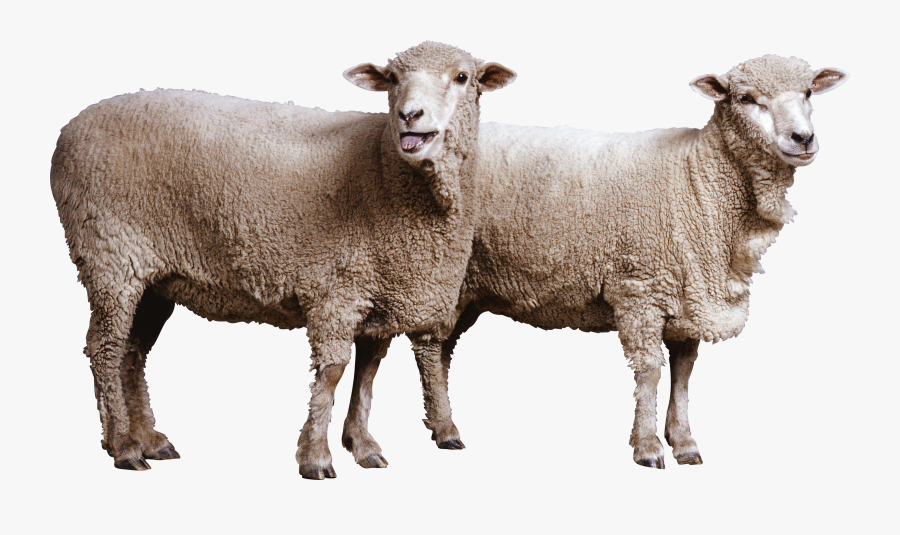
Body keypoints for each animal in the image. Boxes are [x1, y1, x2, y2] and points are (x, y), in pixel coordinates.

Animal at [50, 41, 516, 479]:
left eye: (462, 77)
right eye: (393, 78)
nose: (409, 115)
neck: (384, 170)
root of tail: (69, 130)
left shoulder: (379, 293)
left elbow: (367, 373)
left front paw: (362, 445)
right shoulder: (337, 290)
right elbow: (333, 371)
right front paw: (316, 457)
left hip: (154, 277)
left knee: (132, 351)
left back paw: (149, 440)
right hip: (110, 256)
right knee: (105, 348)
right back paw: (123, 446)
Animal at [341, 55, 847, 469]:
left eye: (807, 93)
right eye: (745, 98)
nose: (803, 138)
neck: (698, 176)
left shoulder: (689, 294)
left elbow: (684, 372)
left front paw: (684, 442)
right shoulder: (641, 289)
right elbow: (650, 370)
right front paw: (648, 447)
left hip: (464, 285)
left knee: (436, 350)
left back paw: (426, 424)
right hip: (441, 274)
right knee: (428, 347)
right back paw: (445, 430)